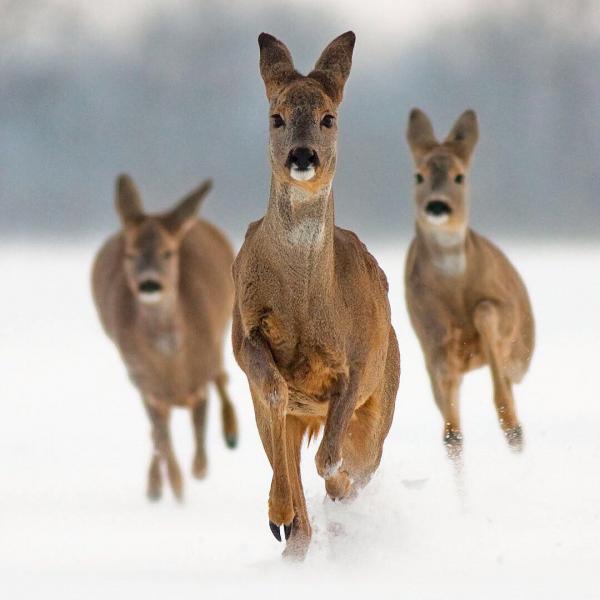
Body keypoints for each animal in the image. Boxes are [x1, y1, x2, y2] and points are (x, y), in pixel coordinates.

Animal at [91, 175, 237, 502]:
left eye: (168, 253)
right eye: (130, 254)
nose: (149, 283)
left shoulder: (200, 371)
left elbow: (199, 421)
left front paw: (198, 470)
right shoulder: (145, 382)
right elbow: (161, 436)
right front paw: (176, 487)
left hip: (222, 331)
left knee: (223, 376)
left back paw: (232, 434)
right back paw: (156, 486)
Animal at [232, 31, 400, 556]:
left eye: (329, 117)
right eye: (276, 117)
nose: (303, 156)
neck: (307, 304)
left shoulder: (362, 360)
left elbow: (331, 457)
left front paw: (334, 490)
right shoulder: (244, 334)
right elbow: (273, 389)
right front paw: (281, 514)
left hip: (384, 396)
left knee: (356, 463)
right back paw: (288, 526)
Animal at [404, 109, 536, 460]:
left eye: (459, 176)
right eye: (418, 176)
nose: (437, 206)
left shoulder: (504, 312)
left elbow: (486, 311)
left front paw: (511, 424)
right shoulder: (432, 342)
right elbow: (451, 432)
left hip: (522, 353)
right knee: (453, 432)